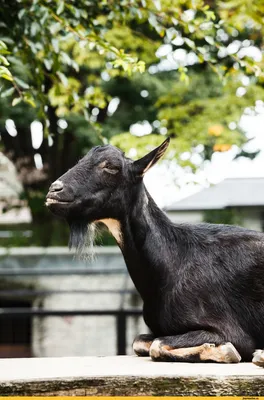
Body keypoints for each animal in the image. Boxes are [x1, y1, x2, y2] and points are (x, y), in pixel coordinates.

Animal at [46, 138, 264, 366]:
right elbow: (140, 341)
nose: (54, 190)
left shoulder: (230, 329)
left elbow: (157, 345)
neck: (174, 260)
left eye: (111, 167)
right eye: (81, 160)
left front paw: (226, 351)